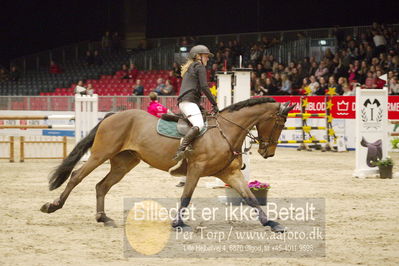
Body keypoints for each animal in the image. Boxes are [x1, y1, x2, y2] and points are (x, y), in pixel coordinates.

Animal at [40, 96, 296, 232]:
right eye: (279, 124)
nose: (268, 152)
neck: (226, 131)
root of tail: (112, 115)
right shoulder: (196, 169)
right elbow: (186, 196)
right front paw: (178, 223)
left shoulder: (230, 174)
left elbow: (251, 198)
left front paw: (272, 223)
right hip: (99, 155)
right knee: (77, 177)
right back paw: (52, 206)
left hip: (124, 163)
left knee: (101, 185)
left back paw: (103, 218)